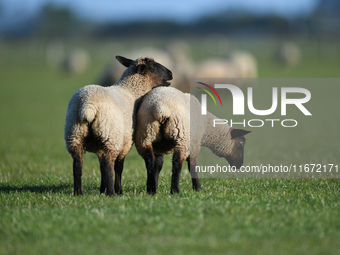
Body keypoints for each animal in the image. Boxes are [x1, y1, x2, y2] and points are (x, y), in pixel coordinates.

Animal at [64, 55, 173, 195]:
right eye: (153, 67)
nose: (171, 73)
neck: (131, 91)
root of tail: (88, 105)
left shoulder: (101, 146)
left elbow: (101, 166)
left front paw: (102, 190)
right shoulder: (125, 143)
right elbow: (118, 167)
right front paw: (118, 190)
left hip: (75, 134)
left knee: (77, 164)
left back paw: (78, 193)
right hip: (110, 136)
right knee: (108, 164)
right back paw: (112, 193)